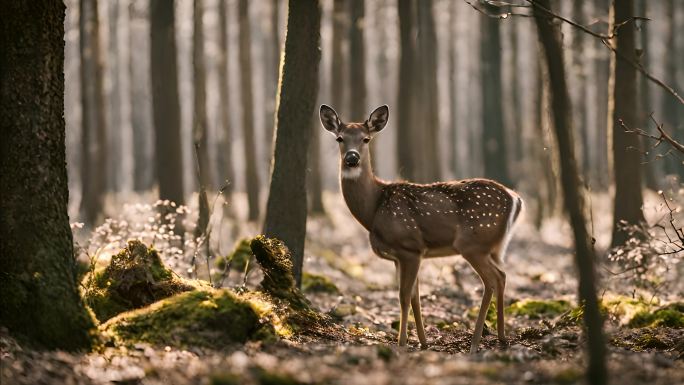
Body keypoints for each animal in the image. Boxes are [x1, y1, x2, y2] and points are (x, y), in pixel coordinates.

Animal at [320, 103, 524, 352]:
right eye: (340, 138)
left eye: (366, 139)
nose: (351, 157)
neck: (373, 208)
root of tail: (515, 198)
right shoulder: (403, 256)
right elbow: (415, 297)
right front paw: (423, 342)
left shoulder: (409, 247)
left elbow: (404, 296)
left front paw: (401, 343)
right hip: (490, 247)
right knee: (502, 276)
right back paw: (502, 338)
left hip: (473, 243)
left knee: (492, 280)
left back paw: (476, 343)